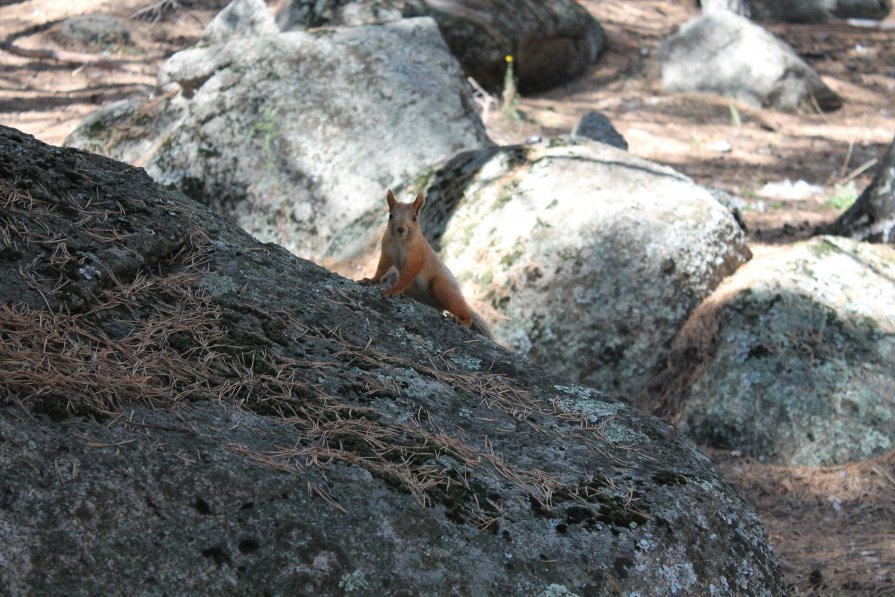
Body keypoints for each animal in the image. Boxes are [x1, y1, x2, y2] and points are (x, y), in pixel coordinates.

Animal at [360, 192, 494, 340]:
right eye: (390, 215)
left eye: (414, 217)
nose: (400, 229)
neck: (400, 241)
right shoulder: (387, 253)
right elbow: (381, 269)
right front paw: (370, 280)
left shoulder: (416, 257)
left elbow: (407, 275)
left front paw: (393, 290)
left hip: (442, 287)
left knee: (465, 313)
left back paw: (461, 320)